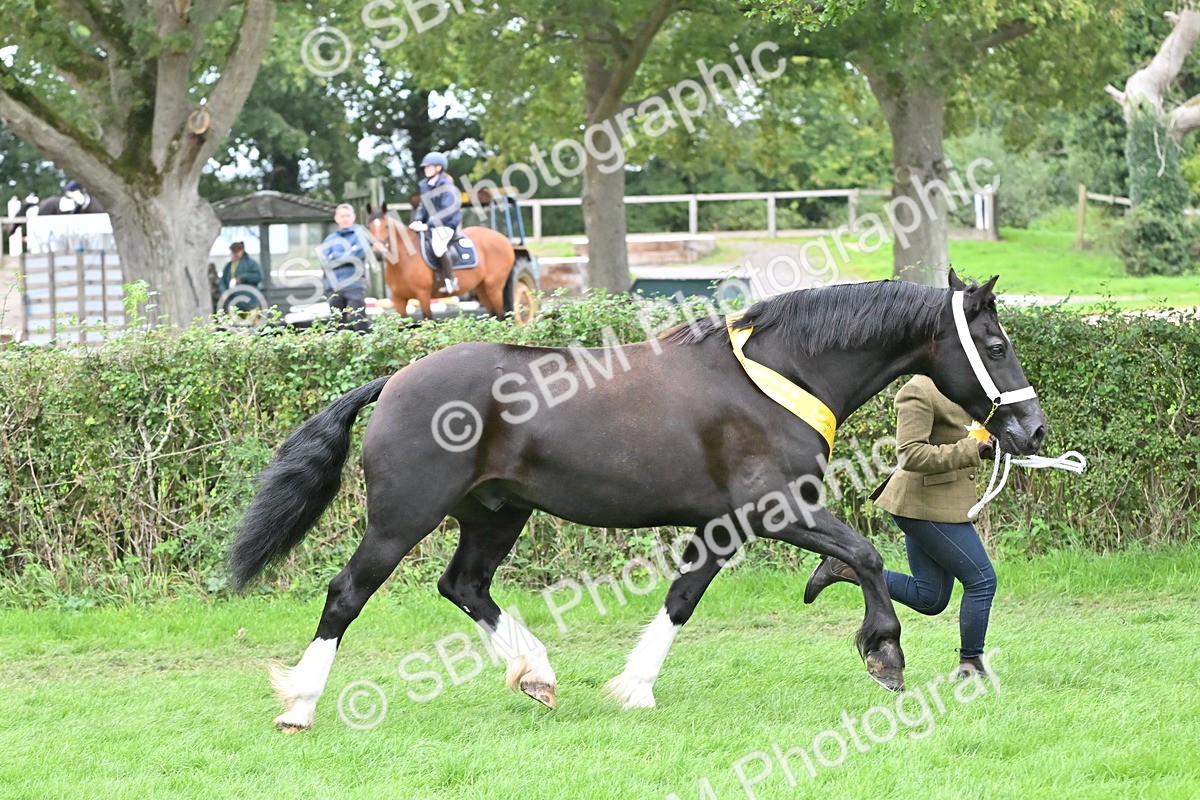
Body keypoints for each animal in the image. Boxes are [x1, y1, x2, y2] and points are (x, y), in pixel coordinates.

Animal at [228, 270, 1048, 731]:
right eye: (997, 344)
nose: (1032, 427)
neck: (779, 379)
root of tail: (394, 381)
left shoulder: (723, 525)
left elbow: (683, 598)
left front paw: (633, 688)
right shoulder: (777, 508)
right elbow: (866, 556)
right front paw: (884, 652)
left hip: (497, 512)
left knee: (464, 585)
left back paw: (536, 674)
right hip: (402, 519)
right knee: (347, 594)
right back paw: (300, 704)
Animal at [365, 202, 515, 321]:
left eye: (386, 226)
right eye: (369, 227)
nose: (378, 253)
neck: (403, 261)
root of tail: (504, 239)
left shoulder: (423, 295)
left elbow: (428, 322)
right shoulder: (398, 299)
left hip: (494, 287)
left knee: (501, 315)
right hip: (482, 288)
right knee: (493, 315)